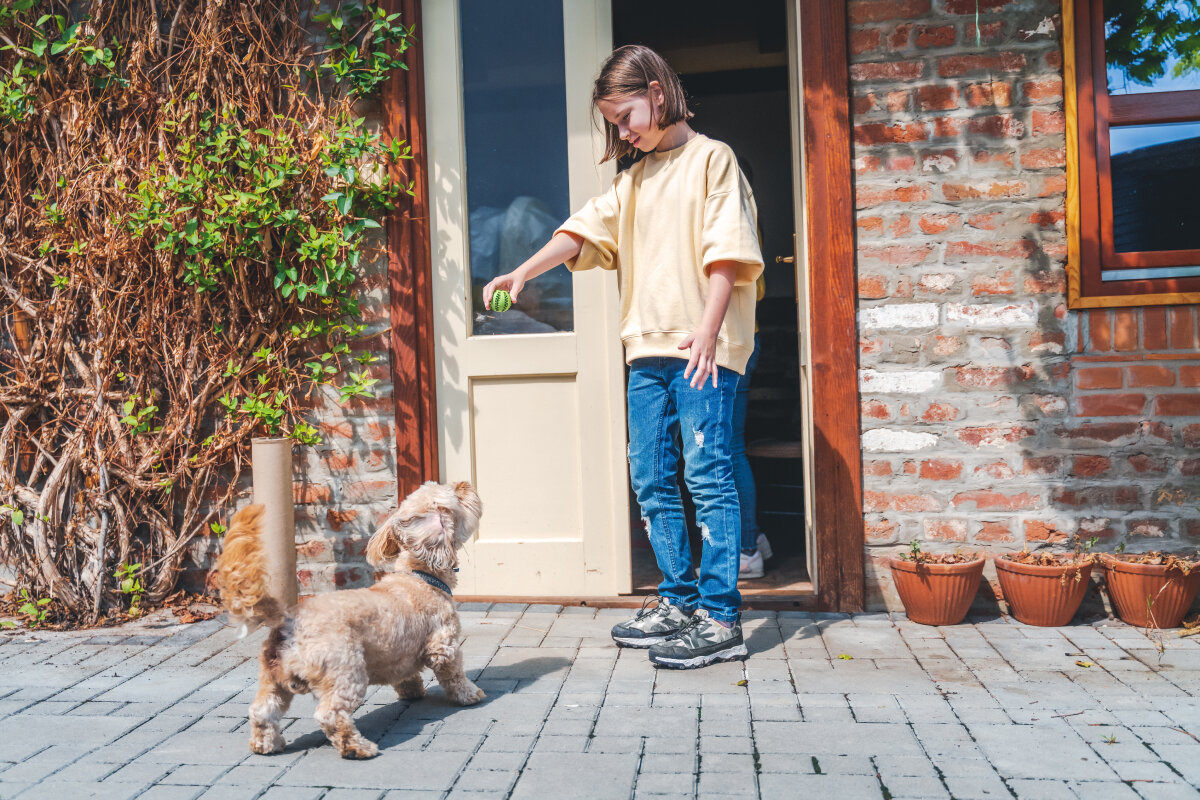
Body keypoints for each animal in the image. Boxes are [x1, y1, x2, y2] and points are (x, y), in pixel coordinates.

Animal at [216, 479, 482, 762]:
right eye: (455, 496)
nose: (463, 484)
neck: (419, 575)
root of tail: (289, 621)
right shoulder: (444, 645)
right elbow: (454, 674)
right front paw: (470, 694)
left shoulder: (400, 652)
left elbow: (405, 676)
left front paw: (412, 691)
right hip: (346, 672)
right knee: (330, 714)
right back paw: (357, 747)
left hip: (272, 680)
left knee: (263, 711)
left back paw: (265, 744)